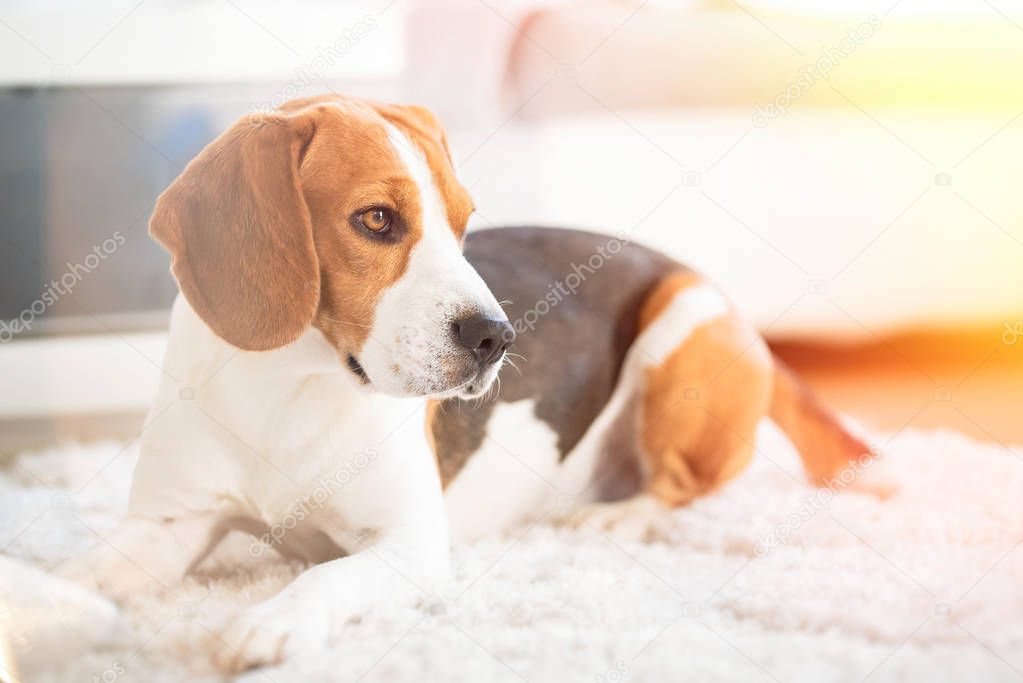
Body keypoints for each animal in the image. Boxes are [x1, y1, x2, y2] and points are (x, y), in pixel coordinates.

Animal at [59, 94, 867, 670]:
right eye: (376, 219)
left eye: (463, 222)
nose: (497, 338)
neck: (290, 383)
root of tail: (710, 283)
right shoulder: (165, 529)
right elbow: (77, 574)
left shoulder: (411, 544)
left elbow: (325, 577)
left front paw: (271, 617)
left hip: (679, 329)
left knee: (680, 487)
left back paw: (614, 518)